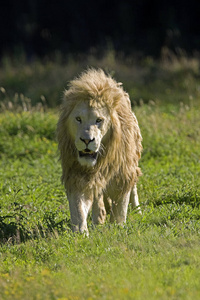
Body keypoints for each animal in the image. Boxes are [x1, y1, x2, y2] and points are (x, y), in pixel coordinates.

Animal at [56, 68, 142, 234]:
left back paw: (137, 211)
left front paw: (117, 227)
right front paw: (80, 232)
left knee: (133, 187)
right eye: (78, 119)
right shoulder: (77, 175)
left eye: (99, 120)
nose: (87, 140)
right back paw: (98, 219)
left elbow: (120, 206)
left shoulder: (123, 173)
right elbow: (78, 207)